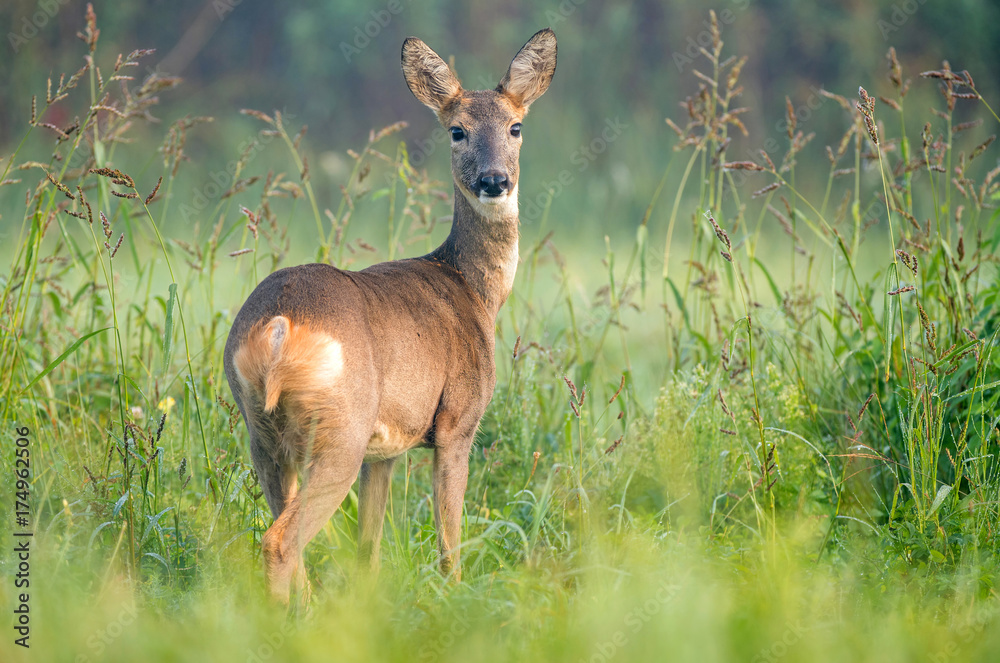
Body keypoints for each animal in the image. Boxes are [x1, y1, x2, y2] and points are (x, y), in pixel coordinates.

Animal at [223, 28, 557, 604]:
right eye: (457, 131)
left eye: (516, 127)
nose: (494, 180)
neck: (474, 291)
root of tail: (279, 327)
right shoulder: (457, 421)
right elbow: (449, 541)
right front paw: (456, 600)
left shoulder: (387, 449)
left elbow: (369, 551)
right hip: (341, 429)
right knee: (281, 541)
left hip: (261, 432)